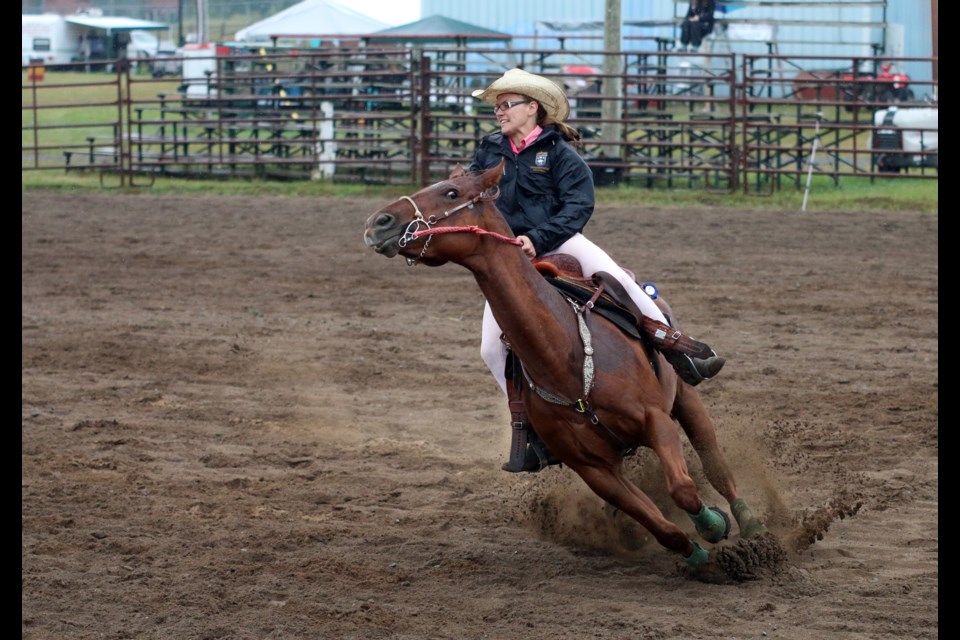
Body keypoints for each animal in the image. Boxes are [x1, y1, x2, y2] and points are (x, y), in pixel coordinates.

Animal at [364, 162, 768, 568]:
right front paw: (695, 552)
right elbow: (659, 524)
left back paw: (750, 521)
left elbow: (683, 488)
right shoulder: (594, 470)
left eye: (451, 192)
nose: (378, 221)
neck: (565, 358)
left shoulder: (656, 420)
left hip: (685, 396)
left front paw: (714, 524)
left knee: (714, 463)